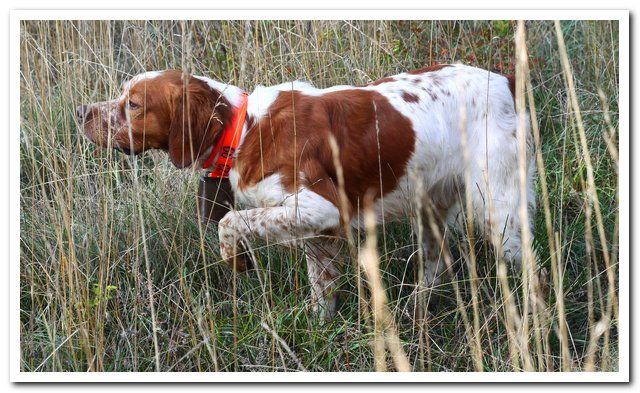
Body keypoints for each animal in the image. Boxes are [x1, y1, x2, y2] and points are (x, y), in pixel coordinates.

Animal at [79, 64, 536, 318]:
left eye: (133, 104)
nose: (82, 111)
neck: (244, 130)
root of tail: (506, 81)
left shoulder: (324, 208)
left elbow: (231, 222)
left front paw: (238, 260)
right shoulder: (317, 230)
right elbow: (323, 291)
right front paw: (321, 327)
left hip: (500, 209)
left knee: (534, 271)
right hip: (430, 207)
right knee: (438, 262)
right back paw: (414, 314)